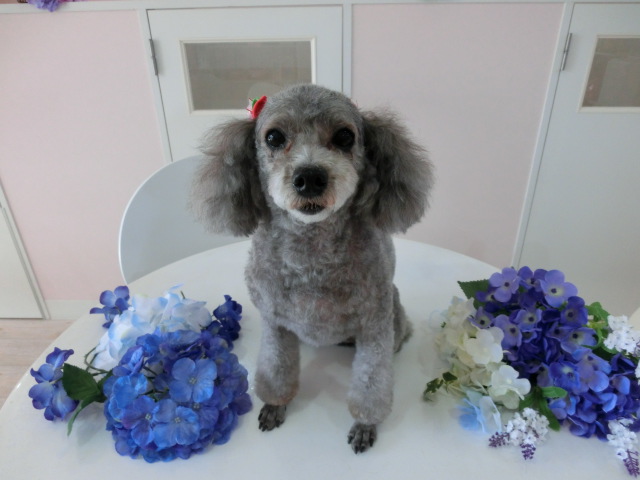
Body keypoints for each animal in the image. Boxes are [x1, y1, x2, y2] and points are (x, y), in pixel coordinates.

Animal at [192, 84, 433, 453]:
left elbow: (371, 381)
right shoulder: (275, 323)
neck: (311, 253)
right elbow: (276, 367)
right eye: (274, 137)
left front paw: (366, 423)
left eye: (345, 136)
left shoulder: (375, 326)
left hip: (393, 313)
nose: (309, 177)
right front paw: (275, 404)